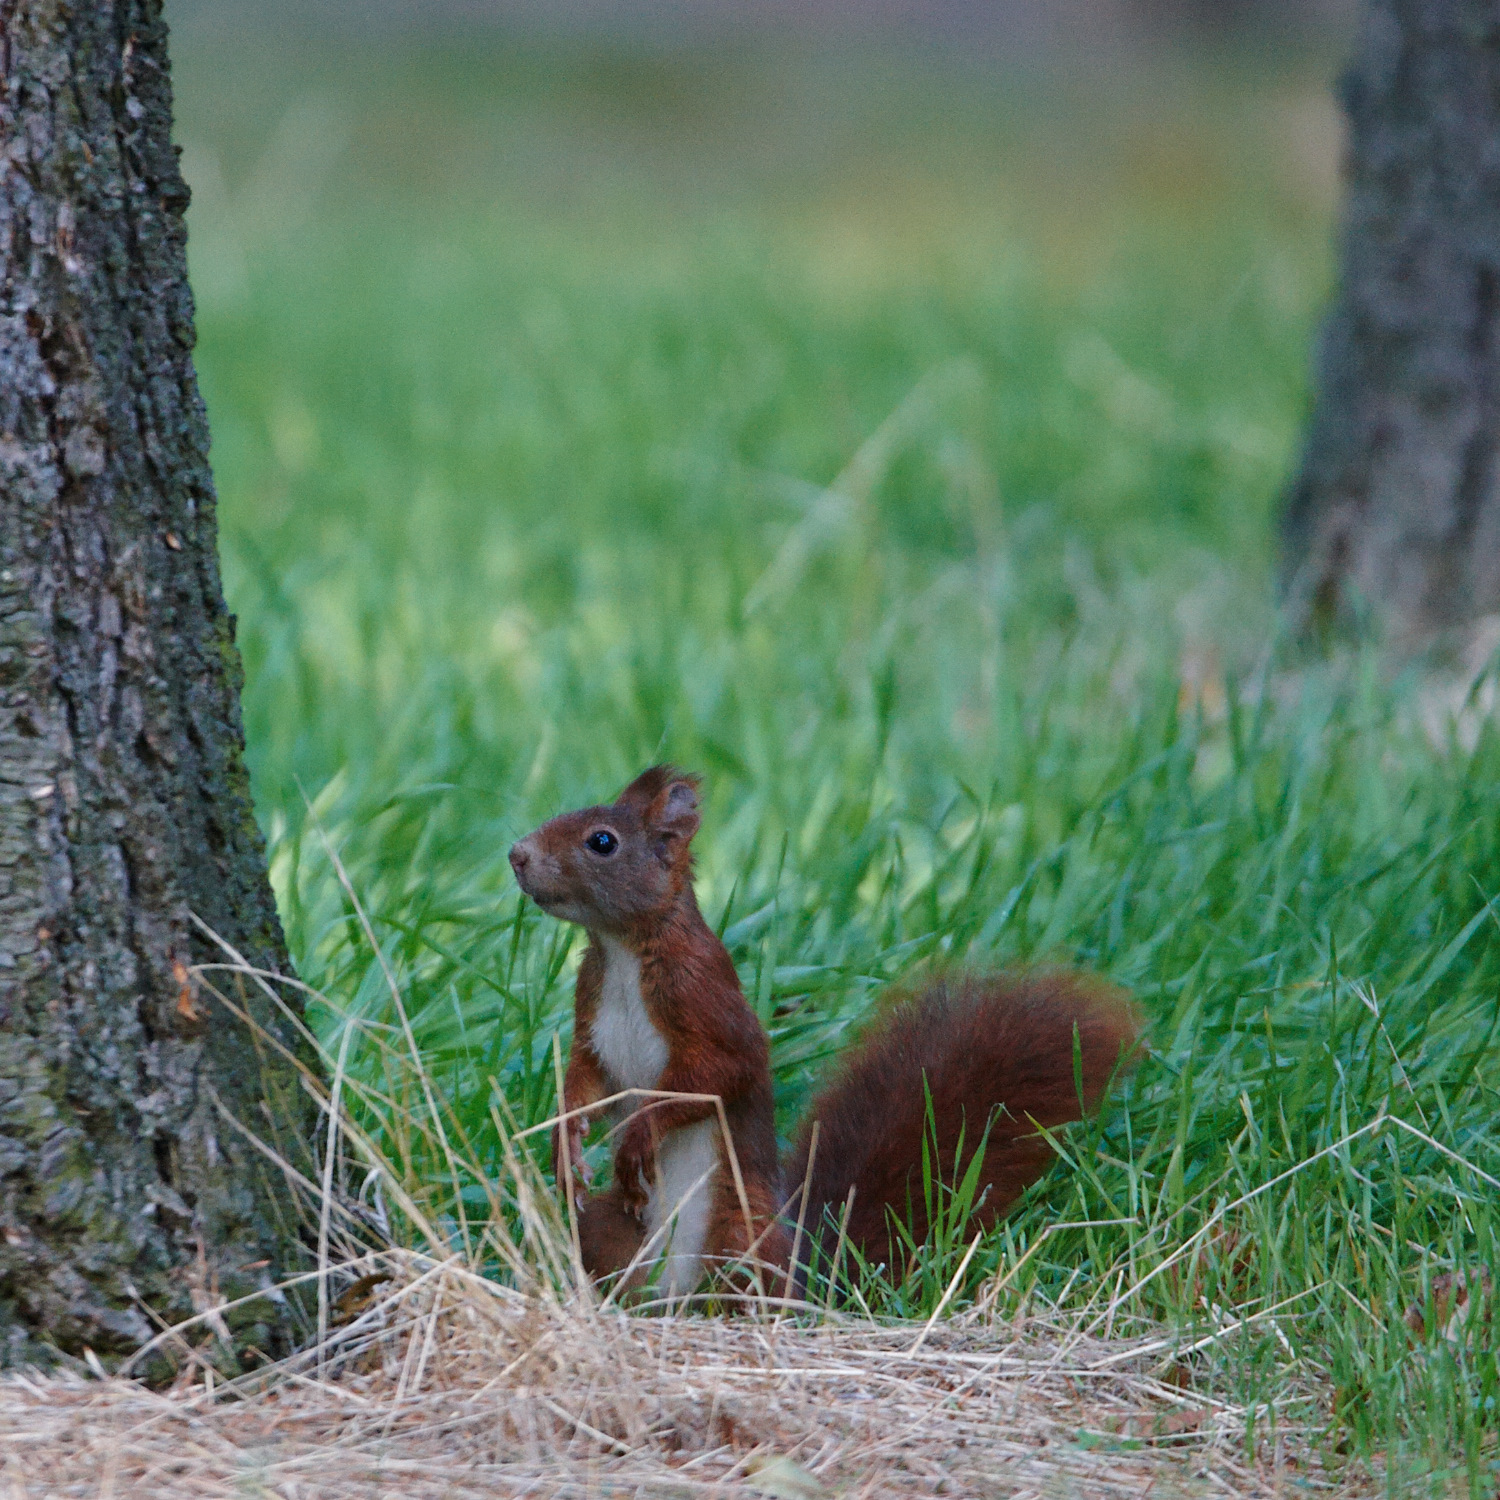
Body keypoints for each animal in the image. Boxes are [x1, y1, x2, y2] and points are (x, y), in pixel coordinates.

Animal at [508, 765, 1141, 1300]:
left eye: (602, 842)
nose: (517, 854)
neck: (621, 949)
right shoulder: (593, 1019)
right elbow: (584, 1079)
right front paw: (565, 1142)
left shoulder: (704, 998)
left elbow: (715, 1074)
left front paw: (639, 1134)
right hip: (609, 1230)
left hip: (739, 1232)